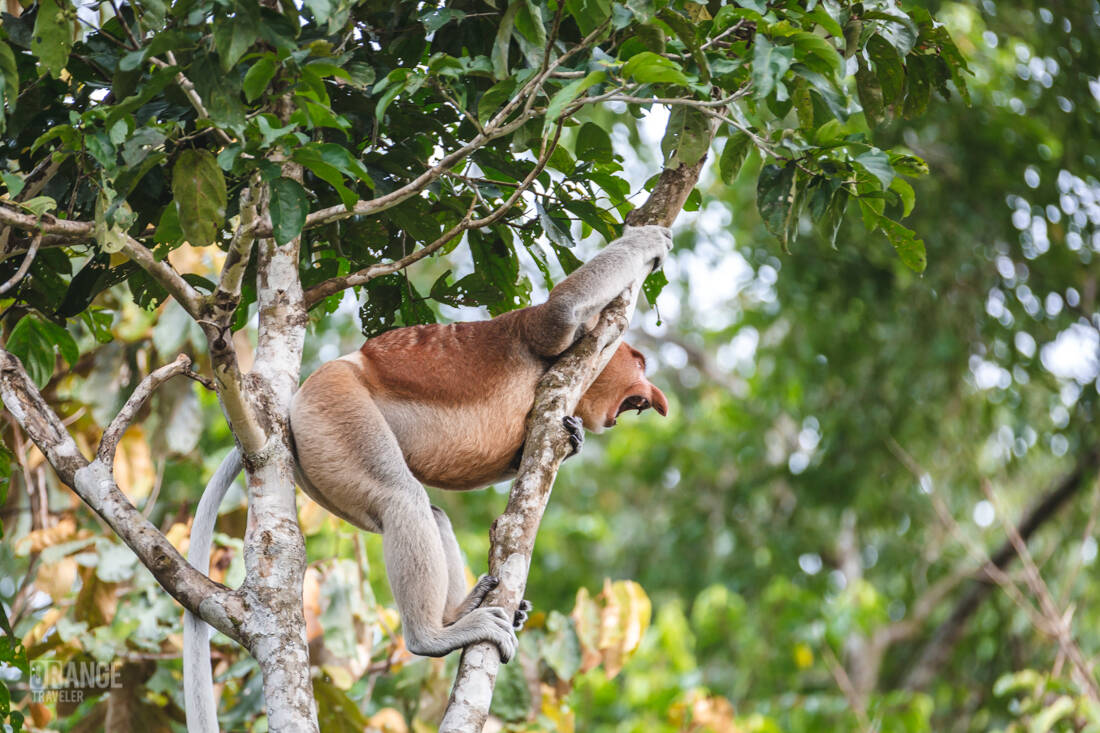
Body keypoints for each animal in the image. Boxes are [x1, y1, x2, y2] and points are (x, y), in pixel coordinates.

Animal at [183, 225, 672, 732]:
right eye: (639, 362)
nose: (655, 397)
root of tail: (299, 397)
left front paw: (572, 436)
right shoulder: (533, 331)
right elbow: (560, 311)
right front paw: (649, 241)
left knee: (429, 513)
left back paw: (462, 611)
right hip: (336, 410)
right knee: (402, 498)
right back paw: (433, 636)